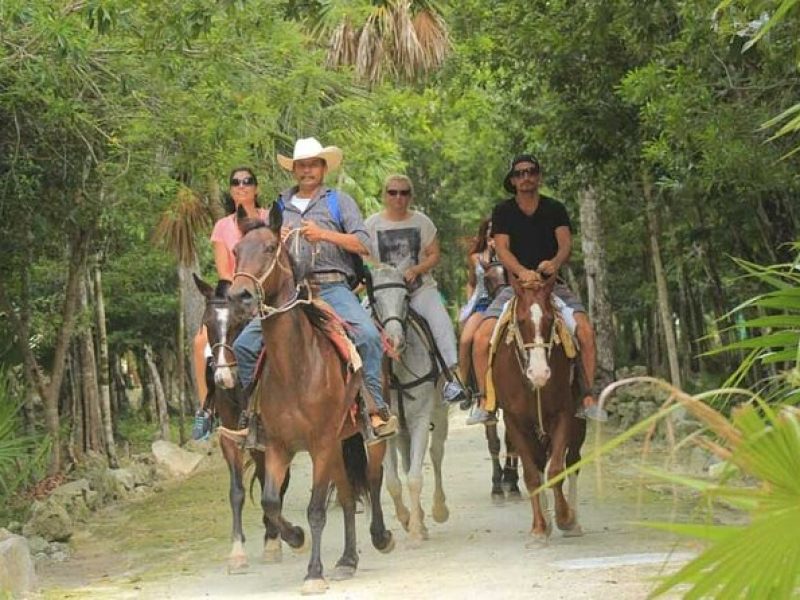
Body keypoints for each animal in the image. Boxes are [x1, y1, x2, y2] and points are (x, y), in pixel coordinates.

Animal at [193, 276, 292, 572]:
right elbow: (236, 491)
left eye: (239, 321)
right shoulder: (229, 437)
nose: (223, 378)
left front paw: (273, 540)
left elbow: (274, 485)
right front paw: (237, 551)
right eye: (207, 323)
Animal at [227, 204, 392, 592]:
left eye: (271, 247)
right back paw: (347, 560)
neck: (297, 368)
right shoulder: (278, 446)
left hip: (362, 438)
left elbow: (316, 509)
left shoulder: (320, 443)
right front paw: (296, 537)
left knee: (373, 479)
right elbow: (271, 501)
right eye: (236, 251)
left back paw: (380, 537)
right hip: (338, 444)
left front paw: (314, 573)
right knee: (346, 496)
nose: (239, 297)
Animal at [368, 262, 450, 544]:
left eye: (405, 297)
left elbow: (415, 477)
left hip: (440, 413)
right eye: (374, 299)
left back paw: (438, 510)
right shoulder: (386, 429)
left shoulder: (421, 421)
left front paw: (415, 530)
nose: (394, 341)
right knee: (405, 462)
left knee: (436, 454)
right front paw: (407, 520)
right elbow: (393, 481)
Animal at [490, 274, 584, 548]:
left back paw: (573, 521)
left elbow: (556, 470)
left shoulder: (564, 414)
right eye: (521, 321)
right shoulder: (514, 422)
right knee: (540, 464)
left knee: (573, 462)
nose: (540, 373)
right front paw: (540, 528)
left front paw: (565, 517)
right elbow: (533, 475)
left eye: (550, 319)